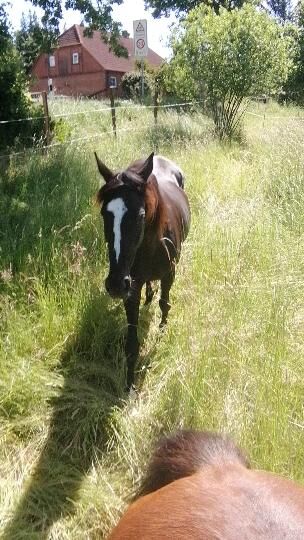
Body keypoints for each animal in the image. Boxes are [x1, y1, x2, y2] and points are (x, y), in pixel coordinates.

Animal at [95, 152, 190, 388]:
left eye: (140, 215)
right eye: (104, 214)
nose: (115, 284)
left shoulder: (169, 274)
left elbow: (165, 304)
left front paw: (162, 331)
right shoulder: (131, 287)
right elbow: (131, 344)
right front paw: (129, 384)